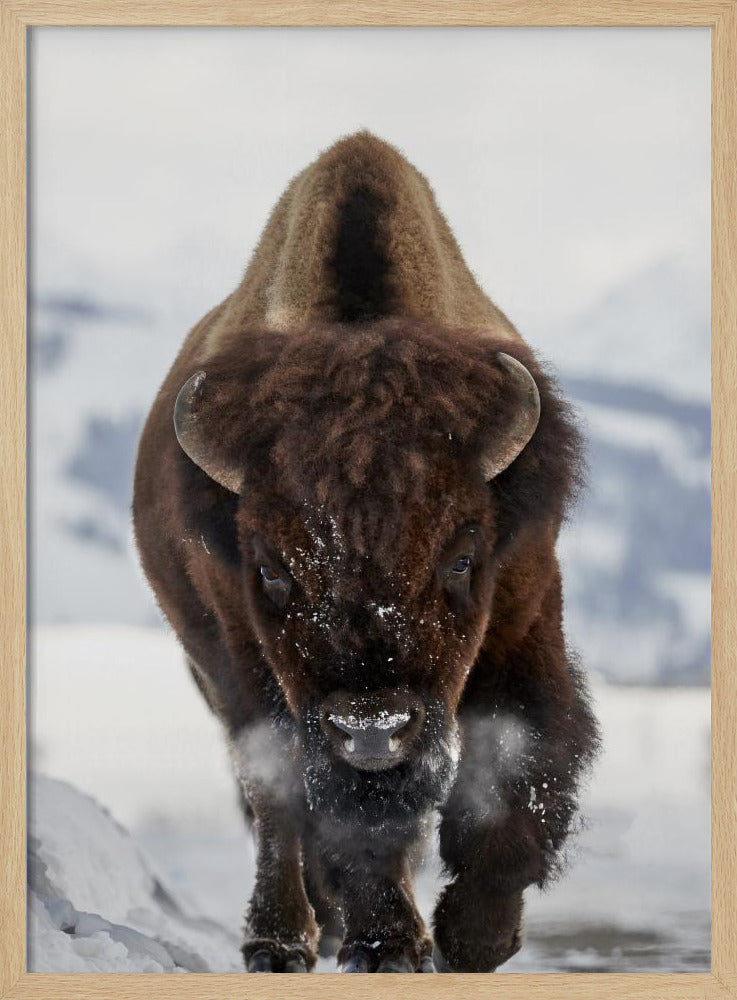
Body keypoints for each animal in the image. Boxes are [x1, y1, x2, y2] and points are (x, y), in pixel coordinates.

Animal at [133, 131, 599, 974]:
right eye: (270, 569)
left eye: (461, 559)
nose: (372, 728)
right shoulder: (247, 657)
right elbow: (318, 806)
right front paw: (386, 944)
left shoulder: (523, 612)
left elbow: (520, 763)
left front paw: (473, 937)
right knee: (276, 803)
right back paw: (283, 939)